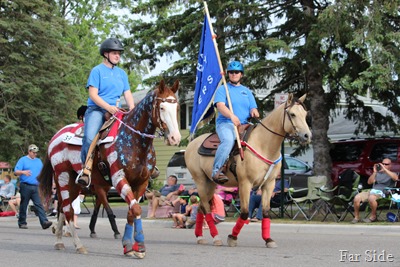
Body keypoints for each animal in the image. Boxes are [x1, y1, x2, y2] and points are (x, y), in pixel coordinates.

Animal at [37, 79, 181, 258]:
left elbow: (131, 212)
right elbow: (136, 209)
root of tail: (55, 136)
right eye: (161, 107)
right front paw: (139, 247)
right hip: (63, 176)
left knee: (63, 208)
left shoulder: (141, 183)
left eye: (177, 108)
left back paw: (59, 241)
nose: (175, 138)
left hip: (73, 184)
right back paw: (79, 245)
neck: (133, 141)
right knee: (68, 210)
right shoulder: (118, 178)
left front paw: (128, 246)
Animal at [185, 94, 312, 249]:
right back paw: (216, 238)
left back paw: (200, 237)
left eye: (305, 114)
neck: (263, 145)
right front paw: (232, 237)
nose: (307, 136)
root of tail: (192, 143)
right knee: (207, 209)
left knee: (201, 207)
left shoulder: (268, 185)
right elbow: (245, 213)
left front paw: (268, 239)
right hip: (200, 181)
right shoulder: (245, 183)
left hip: (211, 183)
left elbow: (266, 212)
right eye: (292, 114)